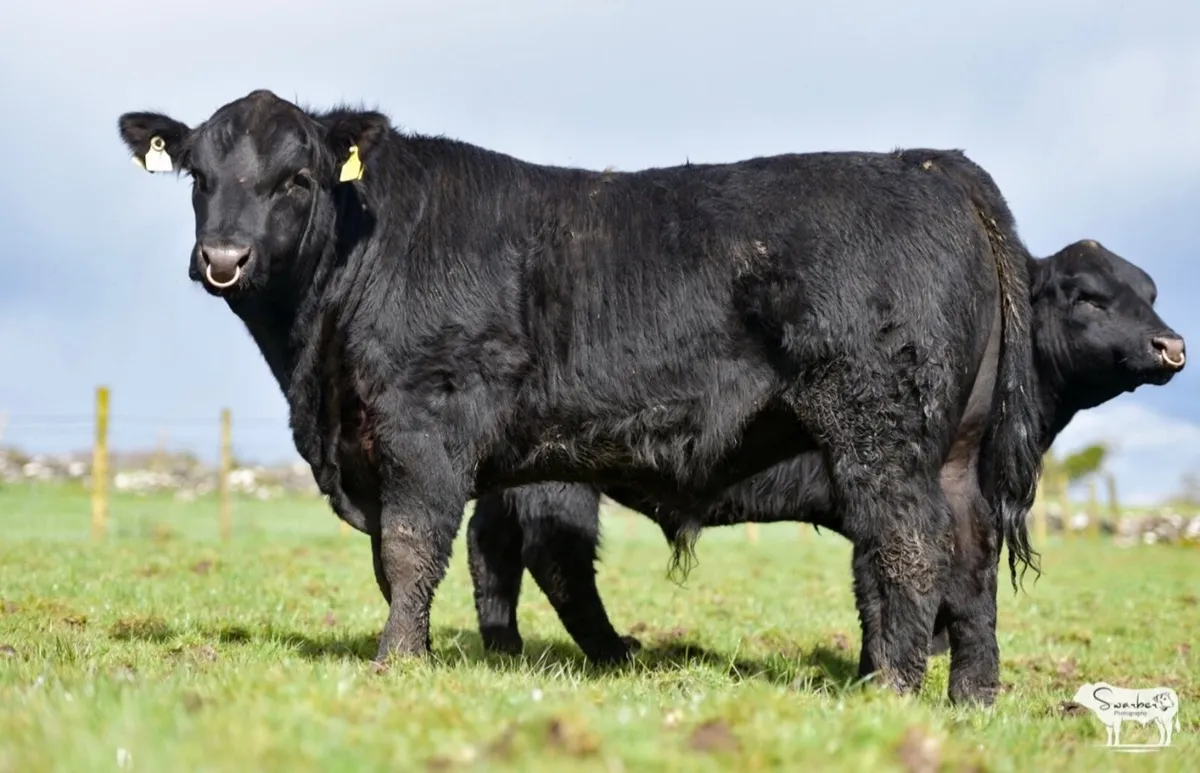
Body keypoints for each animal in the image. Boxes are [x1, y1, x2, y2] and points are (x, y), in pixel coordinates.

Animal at [116, 88, 1045, 705]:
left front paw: (398, 661)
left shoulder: (421, 425)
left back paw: (890, 686)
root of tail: (927, 163)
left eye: (297, 179)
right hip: (955, 446)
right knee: (969, 551)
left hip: (880, 428)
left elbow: (410, 548)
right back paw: (972, 695)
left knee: (911, 543)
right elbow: (411, 557)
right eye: (198, 175)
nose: (223, 257)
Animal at [465, 239, 1186, 703]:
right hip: (559, 476)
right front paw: (885, 673)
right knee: (556, 560)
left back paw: (504, 647)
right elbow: (892, 579)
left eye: (1150, 290)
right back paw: (611, 650)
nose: (1171, 344)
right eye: (1087, 296)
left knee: (490, 545)